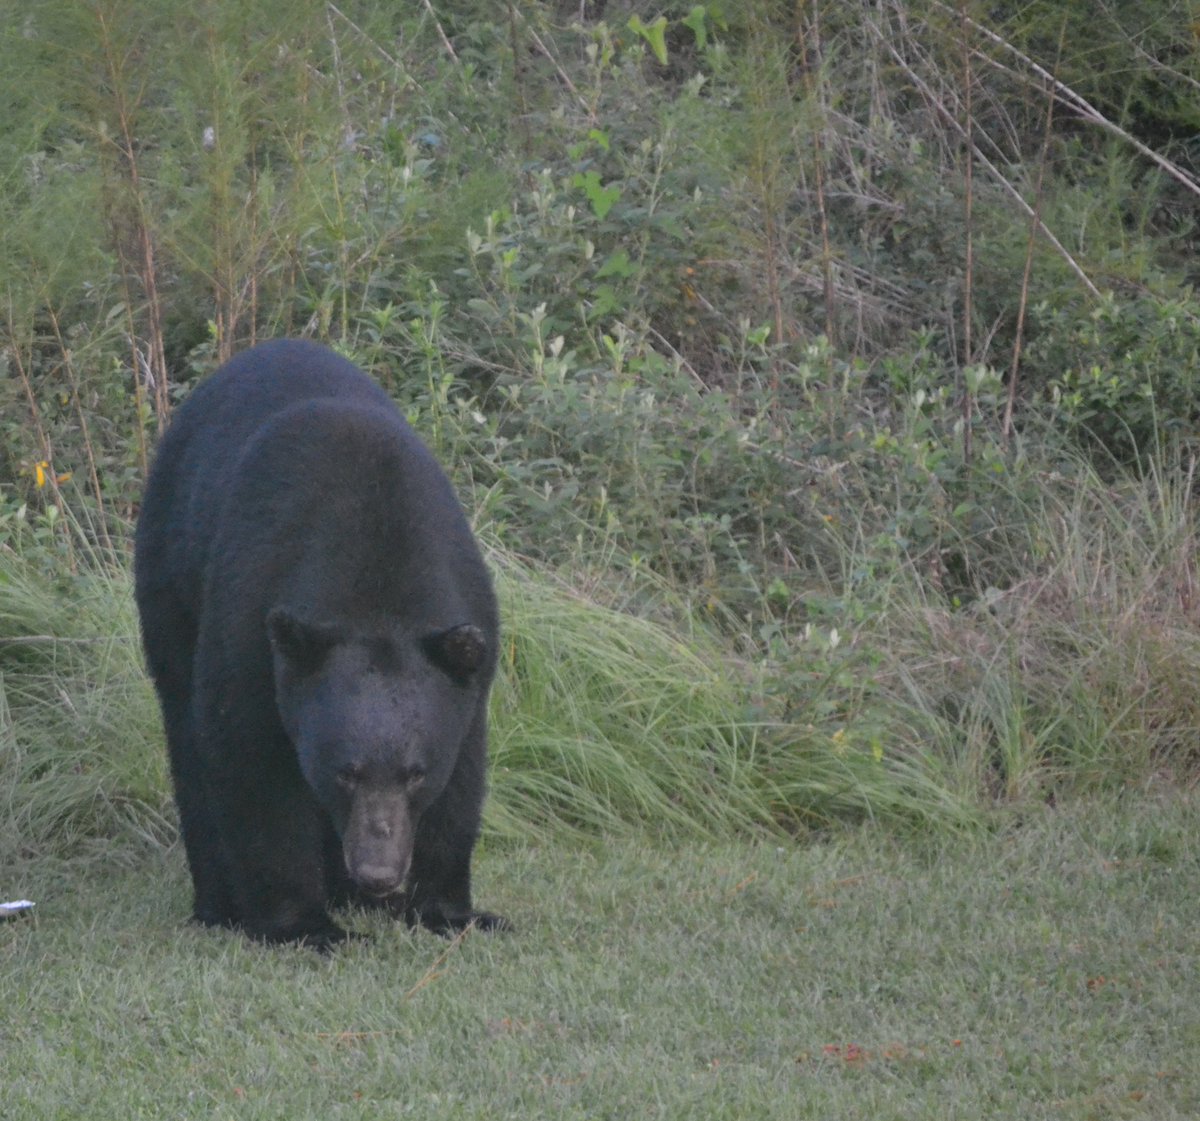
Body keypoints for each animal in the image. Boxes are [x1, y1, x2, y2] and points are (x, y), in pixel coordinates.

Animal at [133, 340, 504, 945]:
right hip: (169, 584)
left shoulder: (469, 648)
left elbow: (462, 779)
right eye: (345, 772)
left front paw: (451, 912)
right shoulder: (251, 617)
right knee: (186, 732)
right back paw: (221, 905)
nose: (379, 873)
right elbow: (250, 761)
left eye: (415, 773)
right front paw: (305, 925)